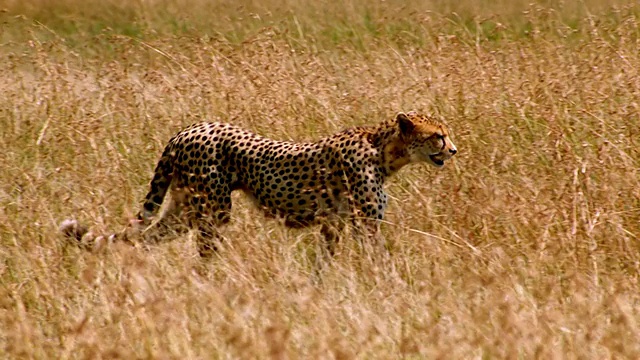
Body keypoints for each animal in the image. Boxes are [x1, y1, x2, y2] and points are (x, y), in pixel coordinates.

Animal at [60, 112, 458, 256]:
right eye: (437, 136)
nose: (454, 150)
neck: (386, 149)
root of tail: (186, 129)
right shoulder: (365, 224)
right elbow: (379, 259)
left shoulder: (334, 223)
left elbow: (324, 261)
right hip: (213, 210)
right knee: (202, 250)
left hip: (185, 207)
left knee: (147, 235)